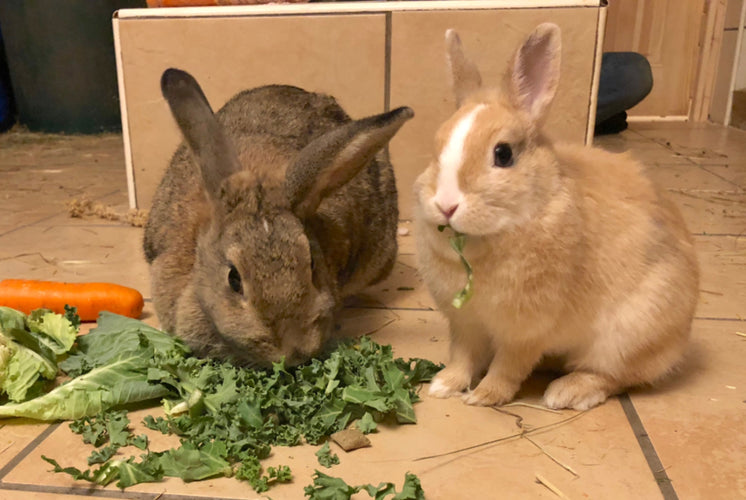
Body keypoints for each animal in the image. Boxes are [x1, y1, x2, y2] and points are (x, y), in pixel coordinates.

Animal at [412, 22, 696, 410]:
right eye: (436, 147)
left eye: (503, 154)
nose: (446, 204)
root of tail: (682, 334)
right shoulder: (465, 323)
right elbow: (463, 356)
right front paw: (443, 386)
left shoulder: (527, 330)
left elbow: (509, 366)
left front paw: (485, 396)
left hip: (628, 335)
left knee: (614, 377)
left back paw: (566, 392)